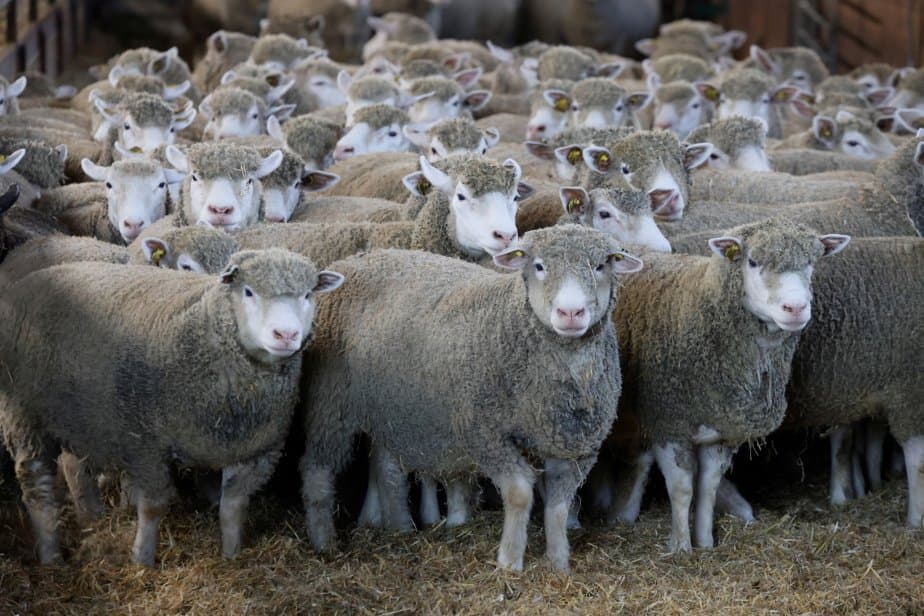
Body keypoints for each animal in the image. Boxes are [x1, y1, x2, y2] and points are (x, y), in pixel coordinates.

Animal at [0, 248, 344, 565]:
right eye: (248, 291)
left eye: (308, 294)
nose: (286, 334)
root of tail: (31, 279)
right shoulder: (145, 446)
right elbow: (153, 507)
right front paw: (141, 560)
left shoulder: (255, 452)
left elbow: (232, 507)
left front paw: (231, 555)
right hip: (23, 414)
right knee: (37, 484)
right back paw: (51, 556)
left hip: (79, 416)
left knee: (73, 465)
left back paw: (91, 517)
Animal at [300, 224, 642, 571]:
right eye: (539, 266)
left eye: (600, 266)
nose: (570, 312)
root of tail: (354, 260)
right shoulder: (484, 432)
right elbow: (520, 492)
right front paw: (510, 560)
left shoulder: (577, 447)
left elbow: (559, 506)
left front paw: (558, 562)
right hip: (331, 400)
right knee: (317, 468)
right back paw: (324, 541)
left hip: (392, 407)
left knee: (387, 467)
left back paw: (400, 527)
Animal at [613, 218, 848, 552]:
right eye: (753, 261)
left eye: (811, 263)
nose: (795, 308)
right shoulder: (668, 423)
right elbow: (682, 488)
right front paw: (681, 547)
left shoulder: (722, 431)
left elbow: (707, 487)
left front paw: (705, 542)